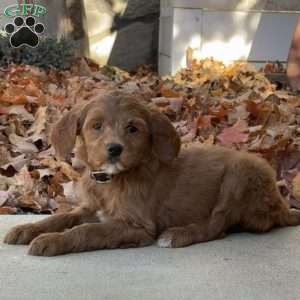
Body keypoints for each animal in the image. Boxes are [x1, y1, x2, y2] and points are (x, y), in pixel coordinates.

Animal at [4, 93, 300, 255]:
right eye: (96, 126)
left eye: (133, 129)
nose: (114, 149)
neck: (113, 180)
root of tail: (282, 206)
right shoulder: (88, 208)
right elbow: (61, 217)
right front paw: (27, 228)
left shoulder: (137, 226)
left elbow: (87, 230)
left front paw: (52, 241)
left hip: (242, 173)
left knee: (217, 226)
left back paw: (177, 235)